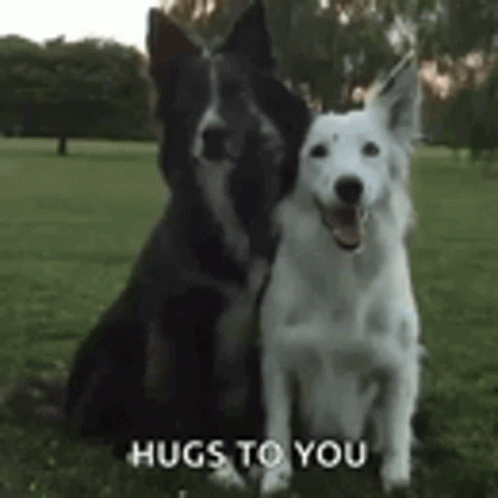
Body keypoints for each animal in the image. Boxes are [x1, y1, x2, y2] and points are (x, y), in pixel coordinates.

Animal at [64, 0, 310, 489]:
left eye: (236, 92)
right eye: (191, 97)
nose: (213, 135)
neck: (223, 199)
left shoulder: (265, 317)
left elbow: (256, 405)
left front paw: (257, 457)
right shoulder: (179, 320)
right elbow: (188, 408)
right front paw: (218, 465)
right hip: (114, 348)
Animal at [258, 51, 424, 494]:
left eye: (371, 149)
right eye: (317, 151)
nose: (350, 187)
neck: (343, 269)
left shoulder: (400, 362)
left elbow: (397, 428)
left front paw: (396, 474)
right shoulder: (279, 357)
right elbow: (277, 426)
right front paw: (275, 476)